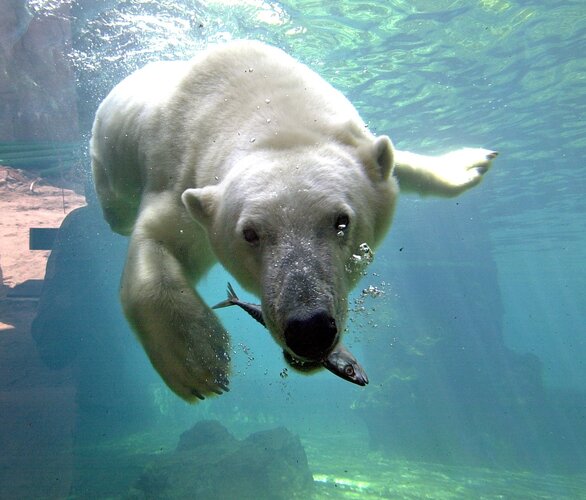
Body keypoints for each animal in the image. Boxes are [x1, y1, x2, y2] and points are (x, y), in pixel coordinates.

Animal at [90, 40, 492, 402]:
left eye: (342, 221)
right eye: (250, 234)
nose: (310, 329)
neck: (266, 110)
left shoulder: (352, 140)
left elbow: (390, 164)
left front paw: (470, 164)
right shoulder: (180, 177)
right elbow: (157, 239)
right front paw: (198, 361)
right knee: (118, 210)